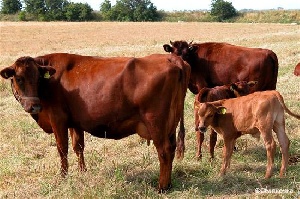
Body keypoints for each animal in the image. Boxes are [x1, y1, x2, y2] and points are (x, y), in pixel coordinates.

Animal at [0, 53, 191, 191]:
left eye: (38, 79)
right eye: (19, 78)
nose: (34, 106)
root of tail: (171, 58)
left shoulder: (58, 120)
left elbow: (62, 149)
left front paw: (63, 176)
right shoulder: (75, 122)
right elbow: (78, 147)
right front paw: (82, 171)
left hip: (156, 123)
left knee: (164, 152)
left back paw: (162, 187)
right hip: (170, 125)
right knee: (171, 150)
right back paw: (168, 183)